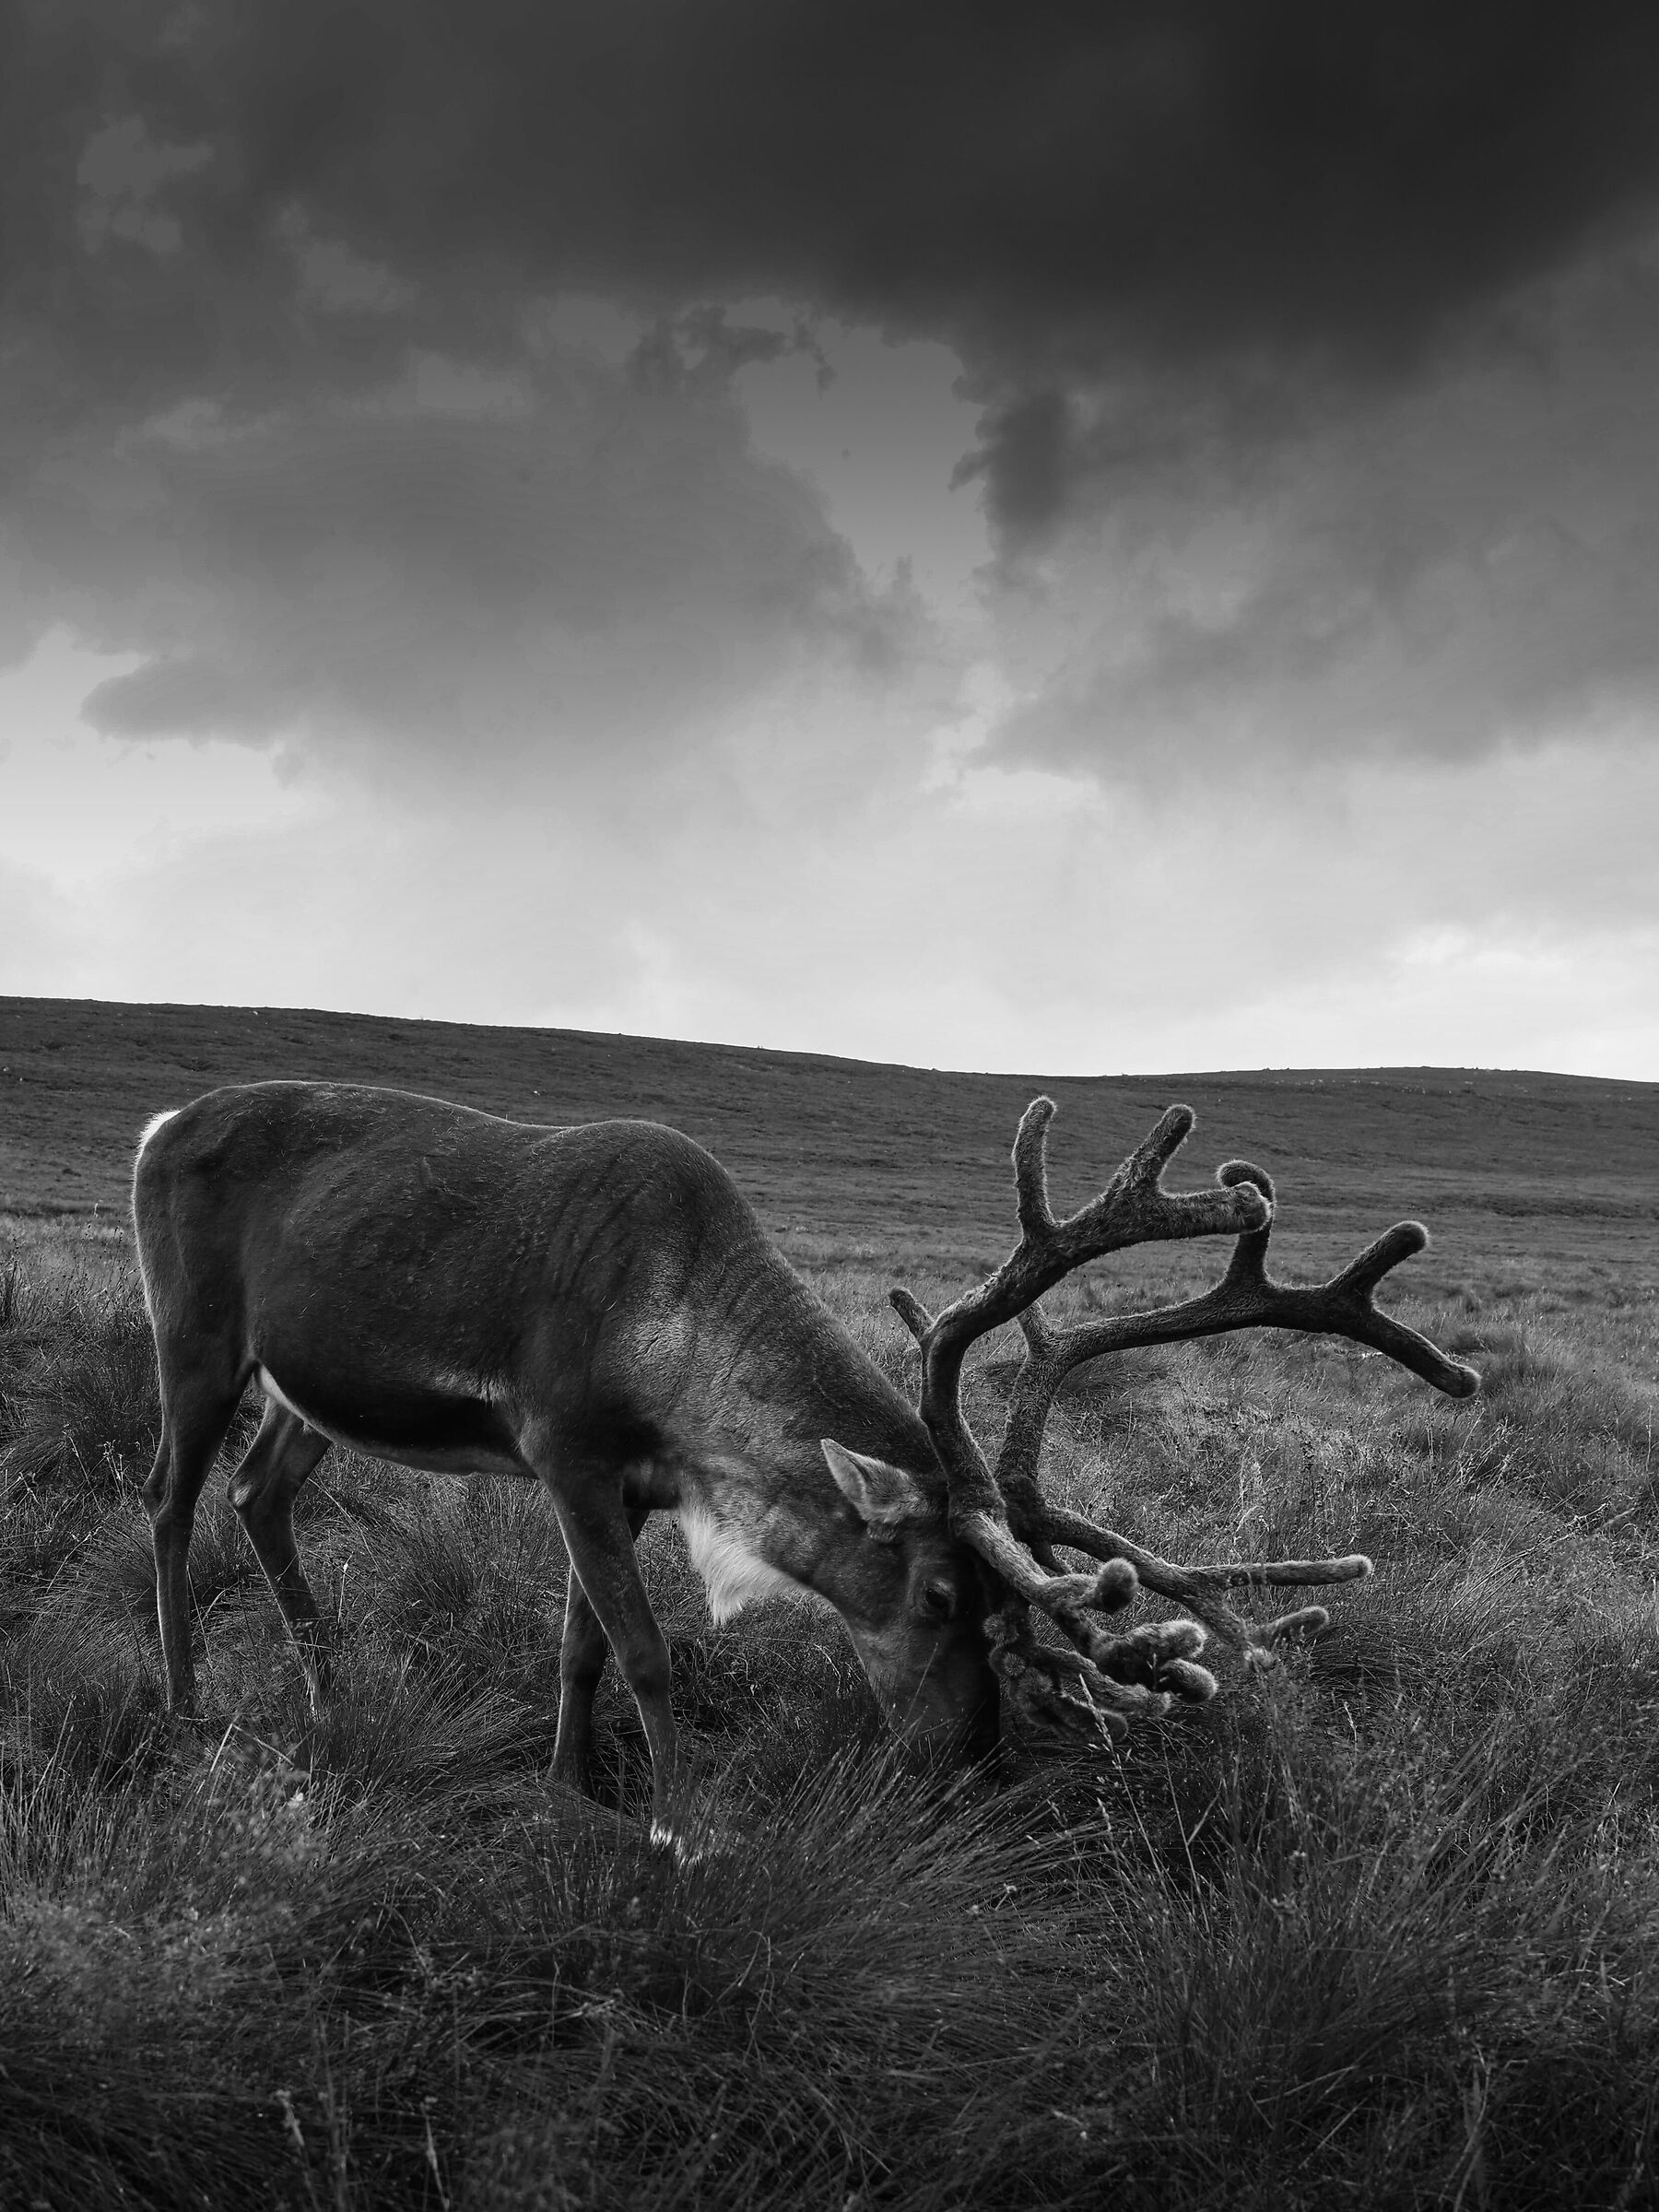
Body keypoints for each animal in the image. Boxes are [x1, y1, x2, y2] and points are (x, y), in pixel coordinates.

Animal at [132, 1080, 1476, 1835]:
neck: (676, 1349)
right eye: (939, 1592)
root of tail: (157, 1125)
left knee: (256, 1492)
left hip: (307, 1385)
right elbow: (648, 1652)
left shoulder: (622, 1484)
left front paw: (573, 1790)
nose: (971, 1757)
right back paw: (186, 1701)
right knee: (167, 1500)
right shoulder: (566, 1448)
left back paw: (326, 1695)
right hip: (194, 1334)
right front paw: (682, 1826)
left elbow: (579, 1647)